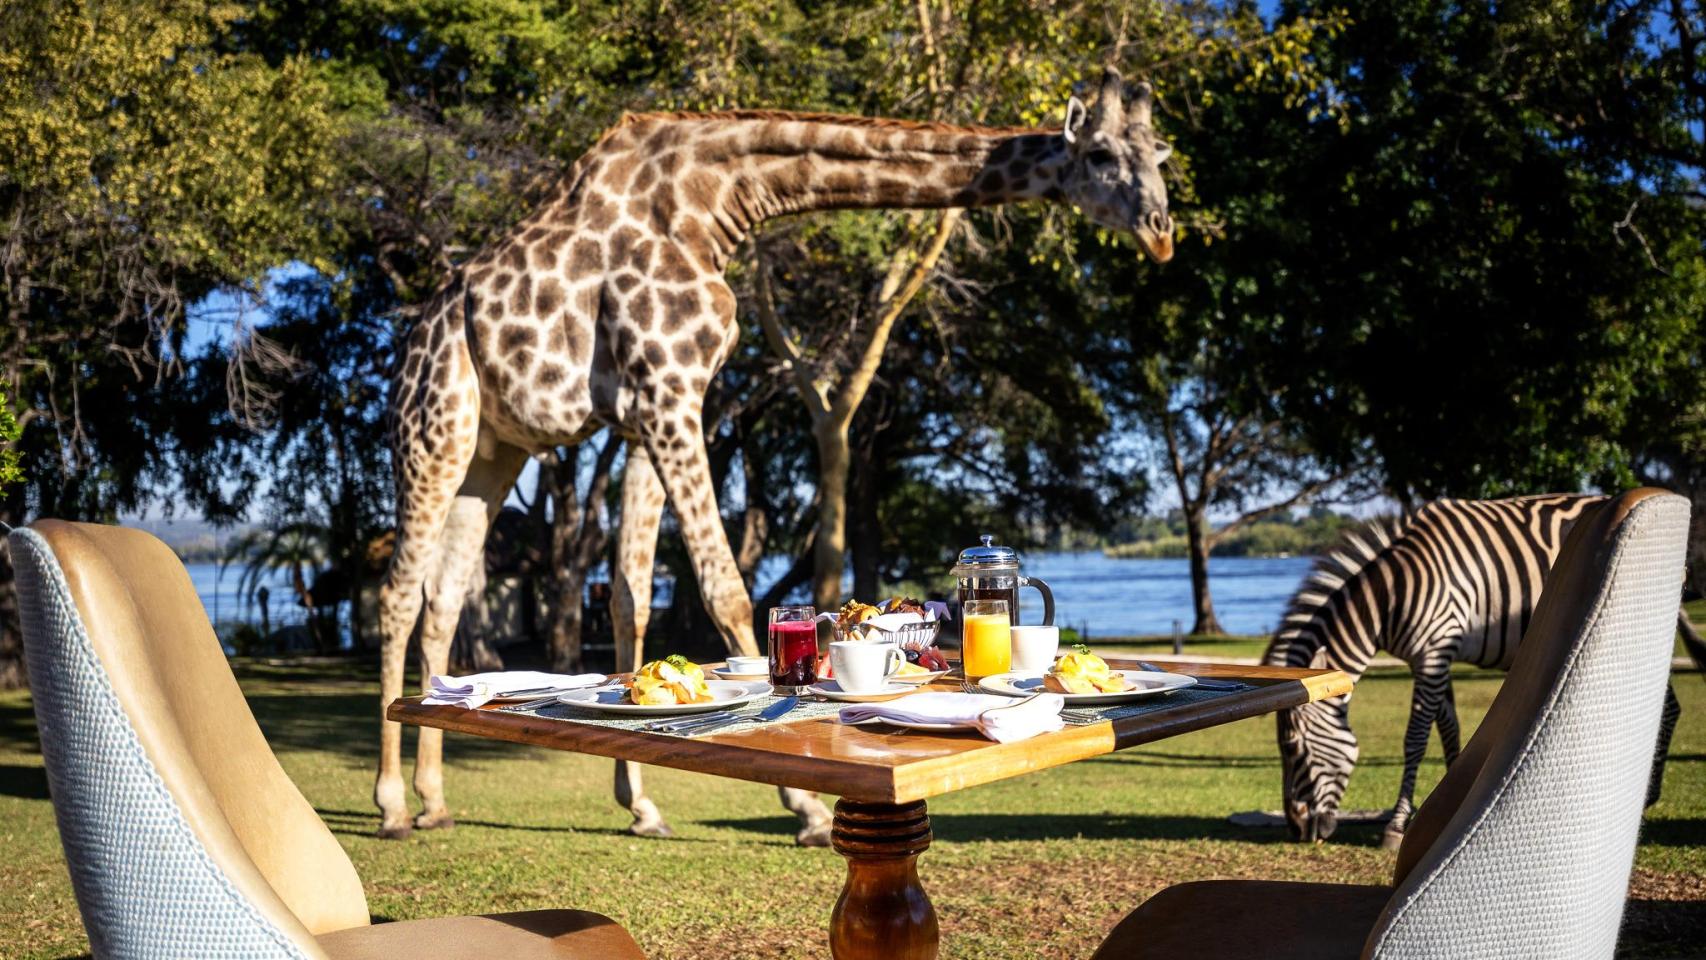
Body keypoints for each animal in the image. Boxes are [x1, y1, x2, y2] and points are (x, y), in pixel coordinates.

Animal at [374, 66, 1175, 843]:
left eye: (1158, 155)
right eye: (1101, 156)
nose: (1162, 233)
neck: (708, 203)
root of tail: (419, 332)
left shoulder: (646, 412)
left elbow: (630, 600)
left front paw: (643, 805)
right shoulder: (669, 391)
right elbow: (725, 587)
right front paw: (808, 807)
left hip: (496, 449)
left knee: (444, 599)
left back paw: (435, 795)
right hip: (436, 426)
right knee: (397, 594)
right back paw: (392, 806)